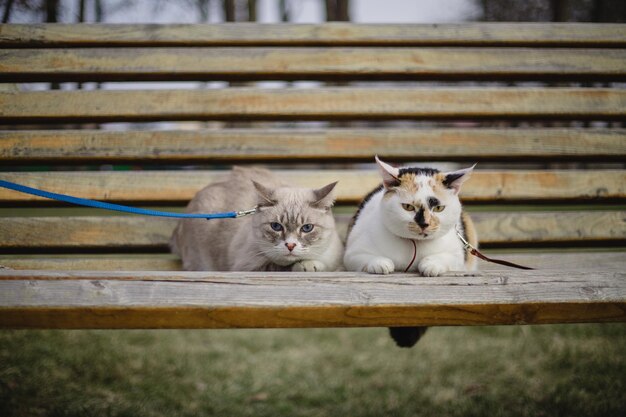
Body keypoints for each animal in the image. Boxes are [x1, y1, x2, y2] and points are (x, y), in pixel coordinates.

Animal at [169, 166, 342, 272]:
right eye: (276, 226)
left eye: (307, 228)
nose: (290, 245)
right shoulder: (247, 267)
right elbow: (281, 266)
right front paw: (308, 265)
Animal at [344, 156, 476, 348]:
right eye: (408, 207)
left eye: (438, 208)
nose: (424, 224)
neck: (414, 246)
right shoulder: (352, 253)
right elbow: (367, 258)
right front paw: (381, 264)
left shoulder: (458, 255)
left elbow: (444, 259)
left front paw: (430, 265)